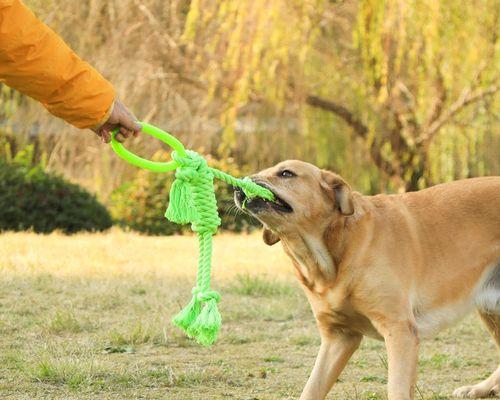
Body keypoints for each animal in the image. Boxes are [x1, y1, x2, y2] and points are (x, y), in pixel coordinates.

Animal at [234, 161, 500, 400]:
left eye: (286, 173)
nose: (238, 187)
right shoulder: (339, 338)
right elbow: (311, 389)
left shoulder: (399, 331)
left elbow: (396, 390)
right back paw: (480, 389)